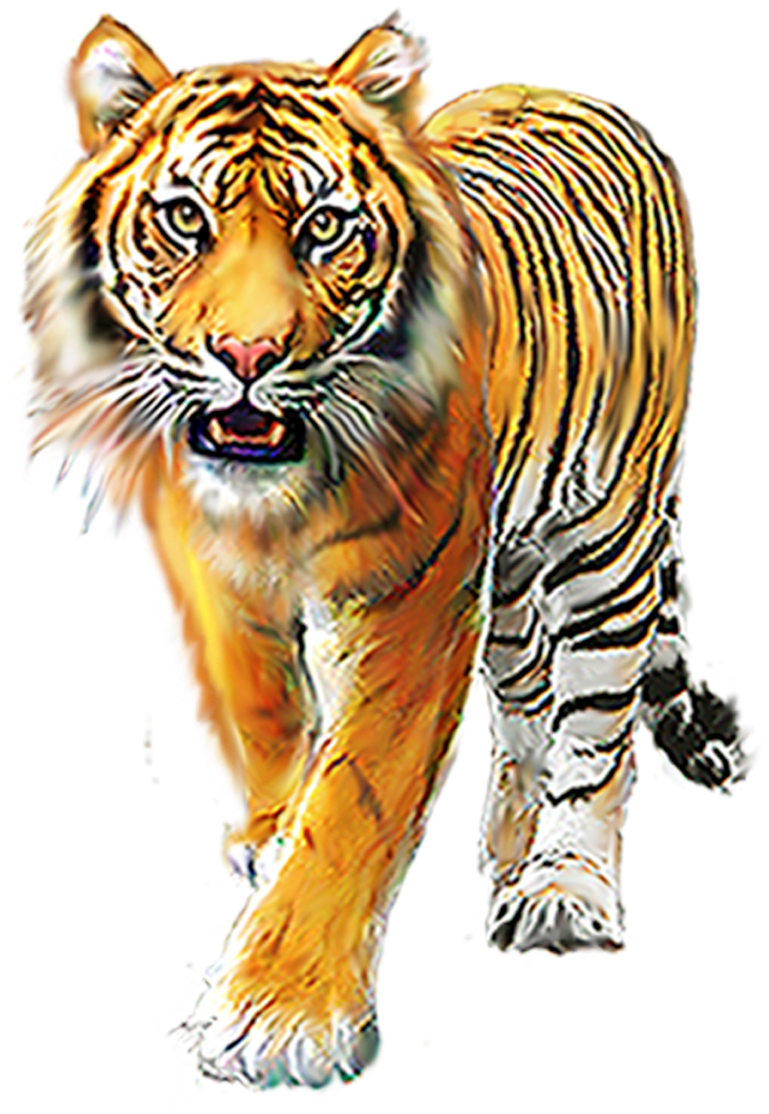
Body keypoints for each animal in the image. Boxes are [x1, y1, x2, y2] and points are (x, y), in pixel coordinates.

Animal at [12, 6, 763, 1097]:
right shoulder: (207, 571)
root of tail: (580, 94)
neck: (268, 503)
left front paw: (280, 1013)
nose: (247, 356)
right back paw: (505, 845)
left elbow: (357, 796)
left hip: (605, 538)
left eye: (324, 226)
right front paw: (270, 832)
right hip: (516, 566)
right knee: (527, 704)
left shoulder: (415, 597)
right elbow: (257, 717)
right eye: (185, 218)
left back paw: (562, 886)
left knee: (593, 723)